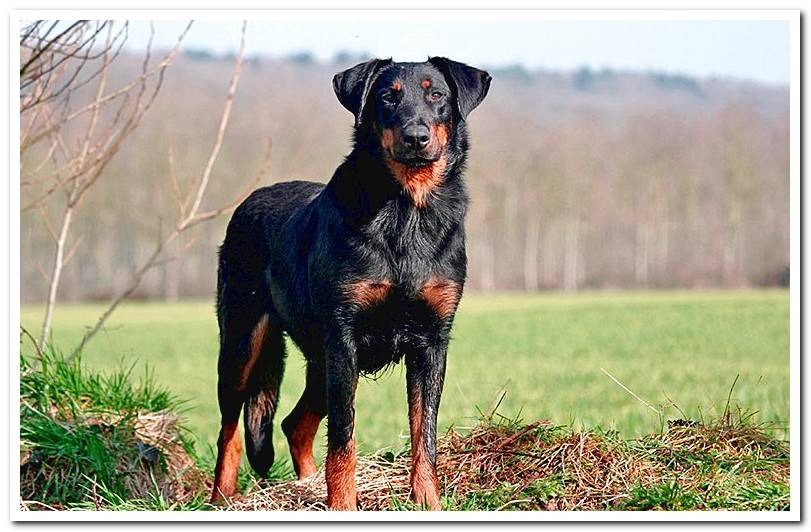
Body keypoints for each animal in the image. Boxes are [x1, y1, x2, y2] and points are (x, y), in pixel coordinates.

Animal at [209, 56, 492, 510]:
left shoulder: (431, 342)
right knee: (230, 430)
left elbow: (424, 434)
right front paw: (343, 504)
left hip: (318, 361)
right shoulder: (344, 340)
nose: (416, 137)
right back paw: (222, 498)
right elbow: (344, 438)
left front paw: (427, 501)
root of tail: (247, 202)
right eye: (387, 97)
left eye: (437, 95)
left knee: (294, 424)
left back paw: (304, 486)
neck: (405, 211)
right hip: (243, 343)